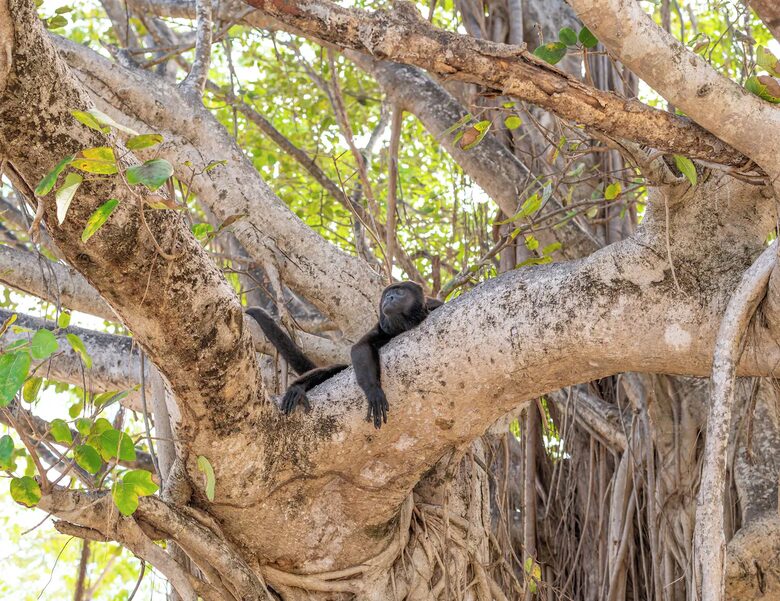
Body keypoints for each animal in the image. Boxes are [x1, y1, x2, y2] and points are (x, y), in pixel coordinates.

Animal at [246, 281, 443, 428]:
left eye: (400, 292)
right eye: (388, 294)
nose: (389, 297)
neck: (403, 324)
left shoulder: (433, 305)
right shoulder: (382, 325)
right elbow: (360, 347)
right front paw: (374, 391)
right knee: (333, 369)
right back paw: (297, 388)